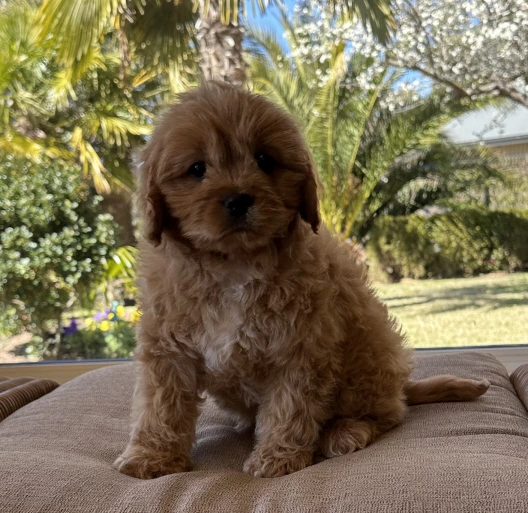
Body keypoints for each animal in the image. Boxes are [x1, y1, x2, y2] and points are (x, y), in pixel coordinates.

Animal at [114, 82, 489, 479]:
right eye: (197, 168)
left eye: (265, 160)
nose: (238, 199)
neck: (233, 265)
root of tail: (400, 387)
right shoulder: (167, 347)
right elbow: (161, 403)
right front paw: (152, 455)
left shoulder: (302, 345)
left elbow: (291, 404)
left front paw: (277, 457)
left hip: (370, 355)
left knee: (387, 414)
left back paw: (346, 430)